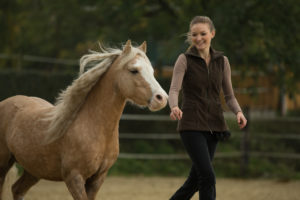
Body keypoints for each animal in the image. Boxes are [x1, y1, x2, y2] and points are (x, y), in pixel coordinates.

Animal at [0, 40, 169, 200]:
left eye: (152, 71)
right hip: (4, 165)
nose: (161, 98)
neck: (93, 126)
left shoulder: (97, 179)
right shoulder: (74, 178)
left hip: (35, 170)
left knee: (17, 189)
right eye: (134, 70)